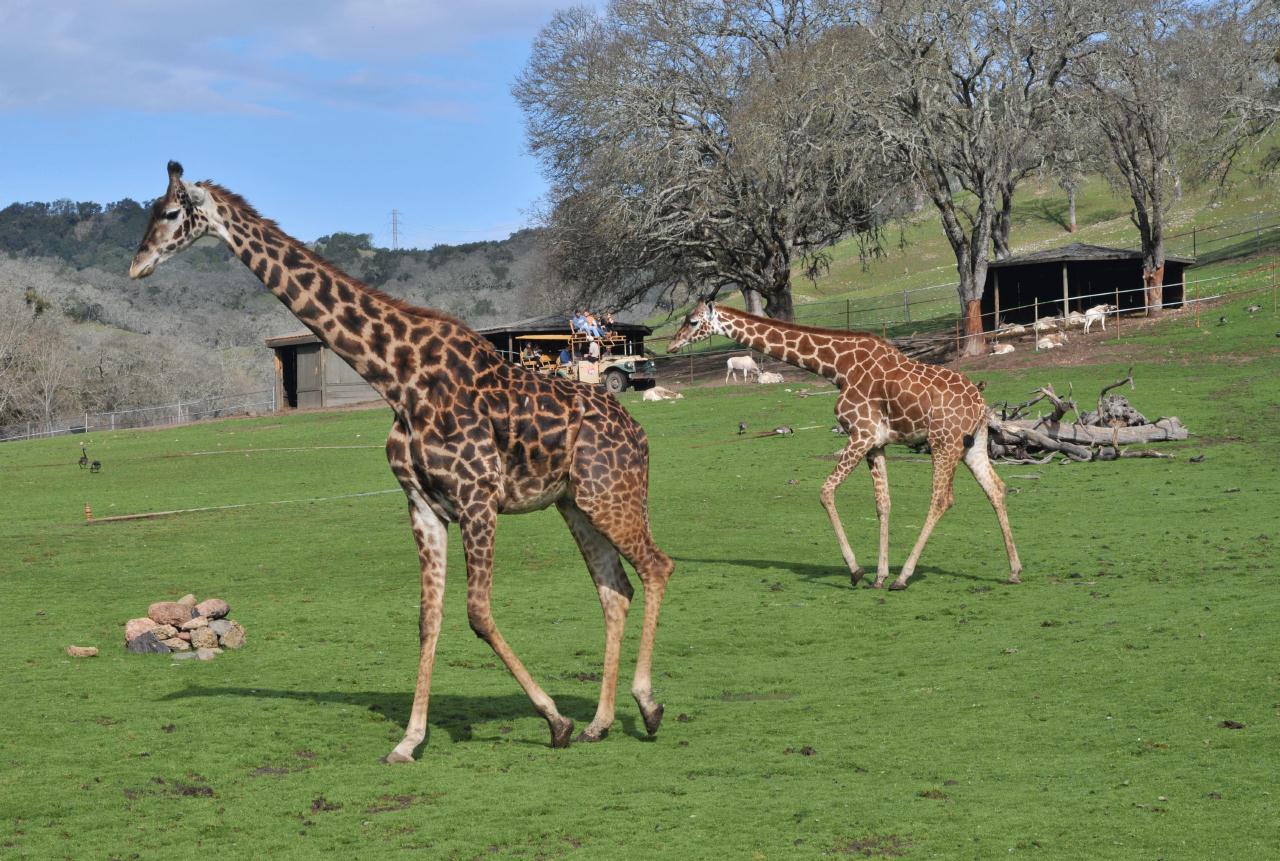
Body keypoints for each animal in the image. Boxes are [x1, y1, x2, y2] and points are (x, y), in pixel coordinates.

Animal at [126, 159, 675, 757]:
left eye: (170, 212)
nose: (136, 265)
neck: (397, 378)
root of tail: (640, 433)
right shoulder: (423, 504)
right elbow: (427, 618)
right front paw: (409, 741)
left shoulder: (477, 496)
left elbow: (477, 612)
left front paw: (555, 720)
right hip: (576, 503)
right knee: (614, 589)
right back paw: (601, 721)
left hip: (610, 493)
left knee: (657, 566)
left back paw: (646, 706)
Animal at [670, 299, 1018, 588]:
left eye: (692, 320)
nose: (673, 343)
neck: (836, 368)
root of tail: (979, 402)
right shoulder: (875, 443)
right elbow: (883, 504)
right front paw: (878, 575)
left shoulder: (860, 434)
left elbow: (825, 491)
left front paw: (857, 570)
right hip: (972, 444)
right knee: (996, 489)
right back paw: (1014, 571)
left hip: (943, 441)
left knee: (942, 499)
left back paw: (904, 577)